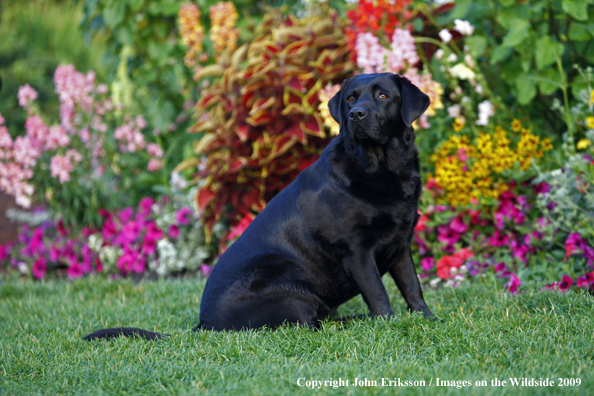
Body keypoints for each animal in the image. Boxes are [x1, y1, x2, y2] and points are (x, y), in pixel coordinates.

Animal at [83, 73, 432, 340]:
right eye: (350, 99)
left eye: (383, 95)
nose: (356, 115)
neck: (380, 167)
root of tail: (204, 325)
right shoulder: (357, 250)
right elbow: (379, 294)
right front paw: (389, 325)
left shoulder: (400, 243)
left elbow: (412, 287)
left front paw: (428, 320)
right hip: (292, 292)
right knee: (308, 324)